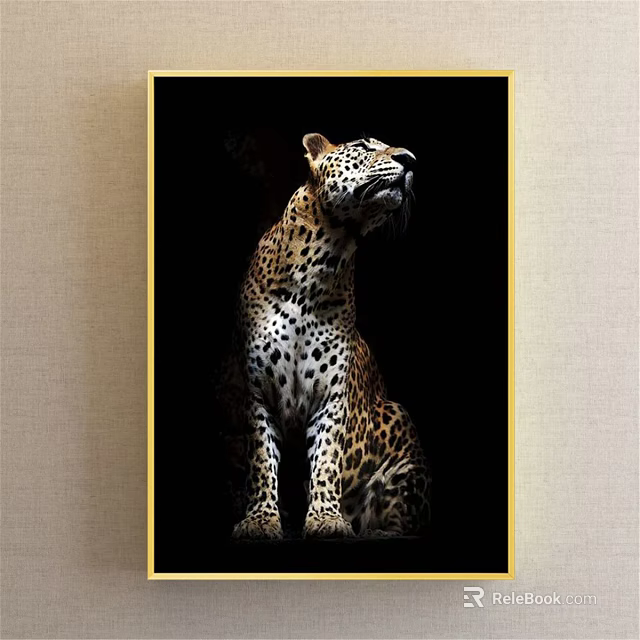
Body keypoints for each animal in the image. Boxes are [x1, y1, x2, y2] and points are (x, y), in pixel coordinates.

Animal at [217, 133, 431, 540]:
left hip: (400, 423)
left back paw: (377, 531)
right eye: (364, 145)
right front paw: (261, 520)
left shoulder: (332, 394)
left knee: (404, 518)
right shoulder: (256, 392)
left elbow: (328, 458)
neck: (325, 258)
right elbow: (261, 461)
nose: (410, 159)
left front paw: (326, 519)